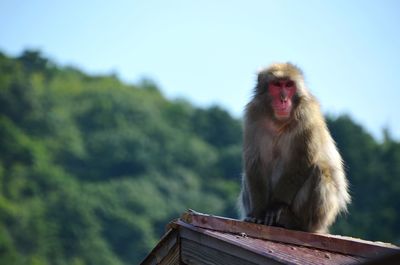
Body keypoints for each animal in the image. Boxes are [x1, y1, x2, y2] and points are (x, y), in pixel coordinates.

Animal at [238, 62, 350, 231]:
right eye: (277, 85)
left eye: (289, 85)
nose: (283, 99)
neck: (278, 121)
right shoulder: (253, 116)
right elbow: (254, 163)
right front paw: (257, 213)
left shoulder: (307, 116)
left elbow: (302, 161)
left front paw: (276, 206)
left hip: (321, 216)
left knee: (320, 169)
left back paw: (294, 221)